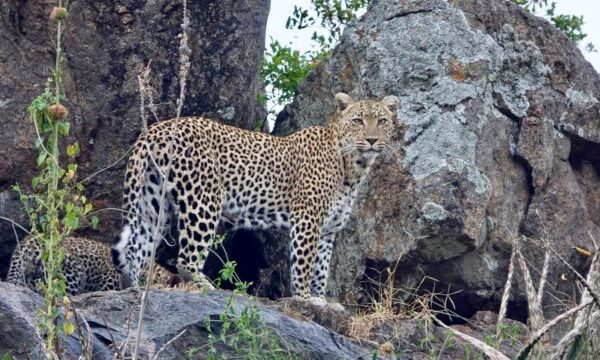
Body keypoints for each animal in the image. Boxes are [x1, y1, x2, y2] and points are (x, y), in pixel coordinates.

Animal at [114, 93, 400, 304]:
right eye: (358, 121)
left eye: (382, 121)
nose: (371, 140)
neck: (353, 167)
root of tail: (155, 129)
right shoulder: (307, 219)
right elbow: (304, 264)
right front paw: (304, 298)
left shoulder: (329, 228)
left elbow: (322, 266)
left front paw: (320, 300)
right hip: (203, 199)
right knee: (185, 258)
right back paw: (207, 287)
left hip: (152, 203)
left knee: (135, 249)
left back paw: (134, 290)